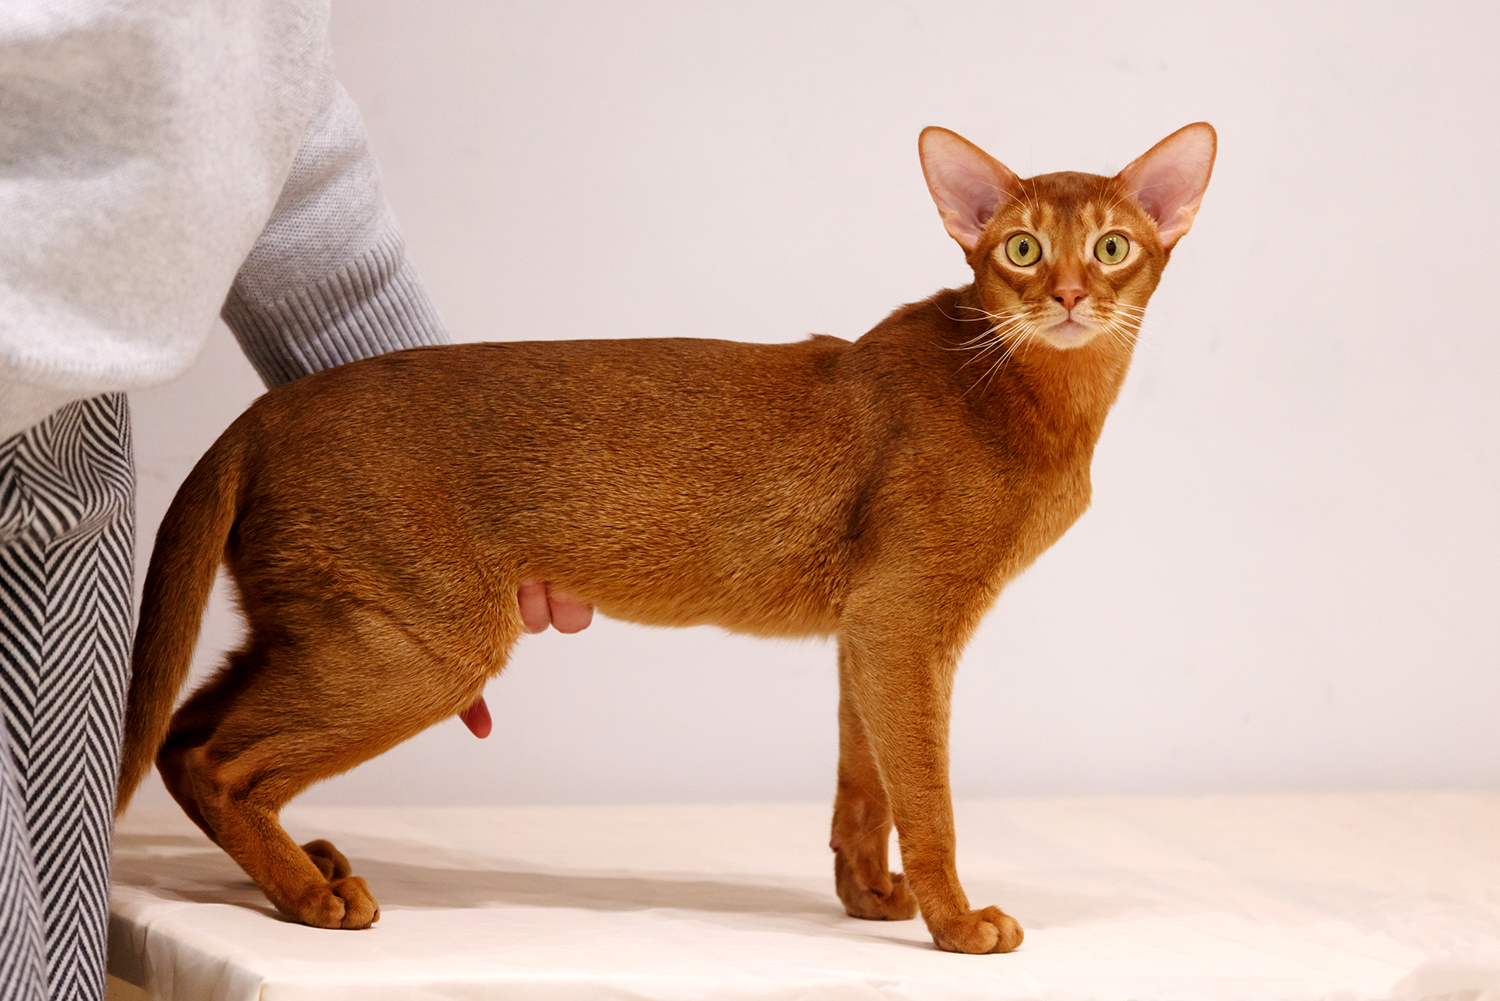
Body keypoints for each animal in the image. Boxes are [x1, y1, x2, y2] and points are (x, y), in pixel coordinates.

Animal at [116, 122, 1215, 954]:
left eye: (1112, 247)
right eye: (1022, 249)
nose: (1069, 296)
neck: (1031, 399)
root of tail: (260, 416)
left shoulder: (867, 629)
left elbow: (864, 784)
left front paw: (869, 896)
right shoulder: (907, 621)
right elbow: (928, 795)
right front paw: (955, 921)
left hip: (319, 624)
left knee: (179, 734)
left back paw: (301, 865)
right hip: (420, 644)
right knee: (217, 759)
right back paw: (311, 897)